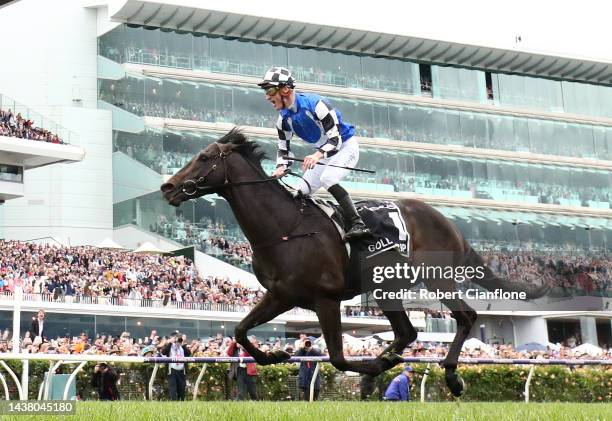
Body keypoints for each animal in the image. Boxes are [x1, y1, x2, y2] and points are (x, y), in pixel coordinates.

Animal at [160, 127, 548, 394]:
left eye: (205, 157)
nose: (168, 187)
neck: (286, 227)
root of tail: (449, 224)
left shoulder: (325, 299)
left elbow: (338, 357)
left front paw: (373, 368)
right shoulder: (281, 295)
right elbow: (240, 330)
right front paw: (275, 356)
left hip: (438, 277)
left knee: (464, 317)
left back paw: (450, 376)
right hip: (385, 288)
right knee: (407, 332)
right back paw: (388, 358)